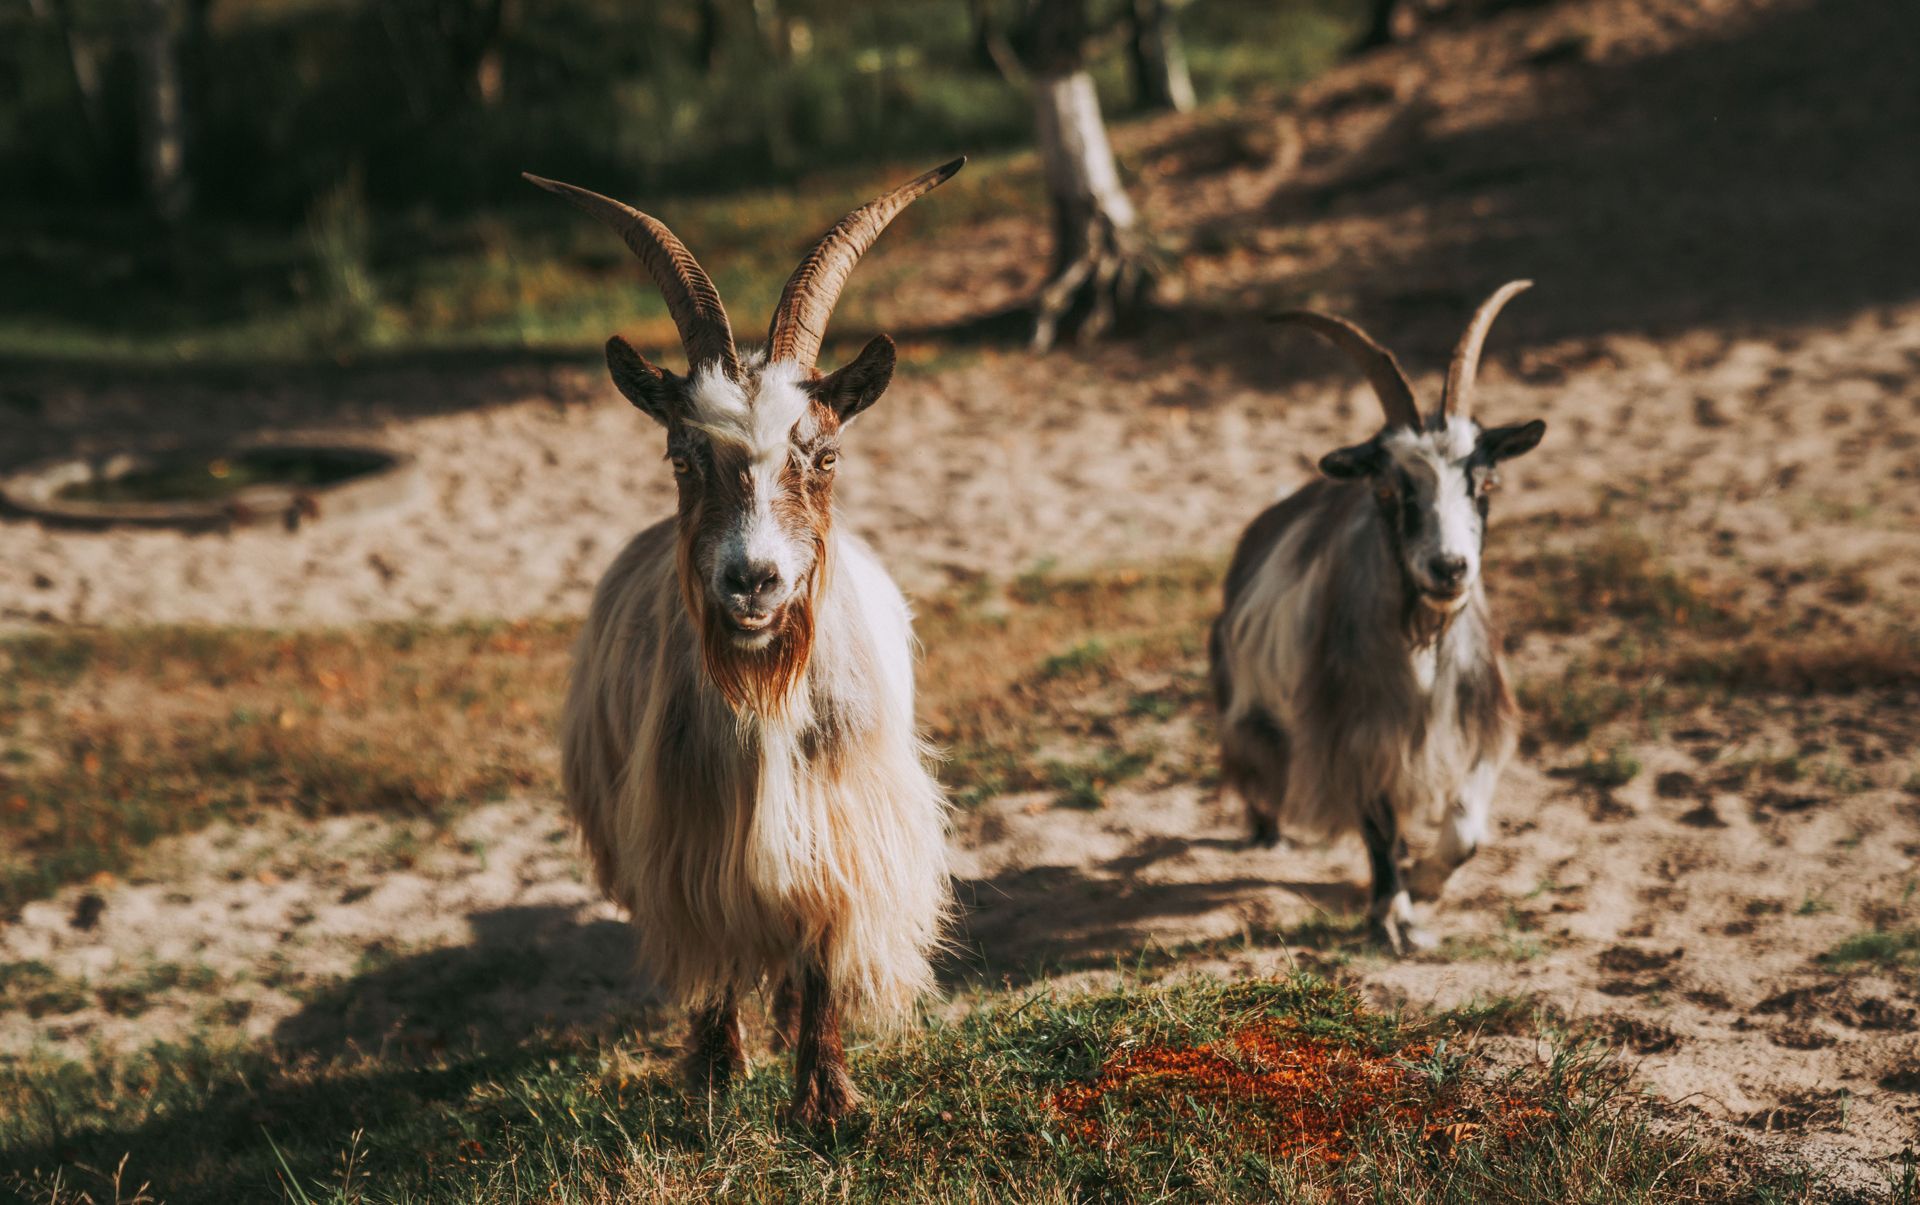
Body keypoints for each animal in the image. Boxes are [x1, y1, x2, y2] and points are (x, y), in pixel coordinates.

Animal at [529, 155, 960, 1128]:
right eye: (683, 457)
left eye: (827, 455)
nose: (753, 579)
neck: (764, 691)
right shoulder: (687, 840)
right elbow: (716, 959)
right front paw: (717, 1075)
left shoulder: (844, 829)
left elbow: (824, 952)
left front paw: (827, 1102)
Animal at [1213, 282, 1543, 951]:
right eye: (1390, 490)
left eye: (1487, 483)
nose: (1449, 567)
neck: (1423, 638)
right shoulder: (1356, 730)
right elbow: (1376, 826)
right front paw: (1393, 914)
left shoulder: (1473, 723)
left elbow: (1467, 832)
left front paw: (1426, 883)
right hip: (1247, 698)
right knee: (1254, 758)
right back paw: (1267, 832)